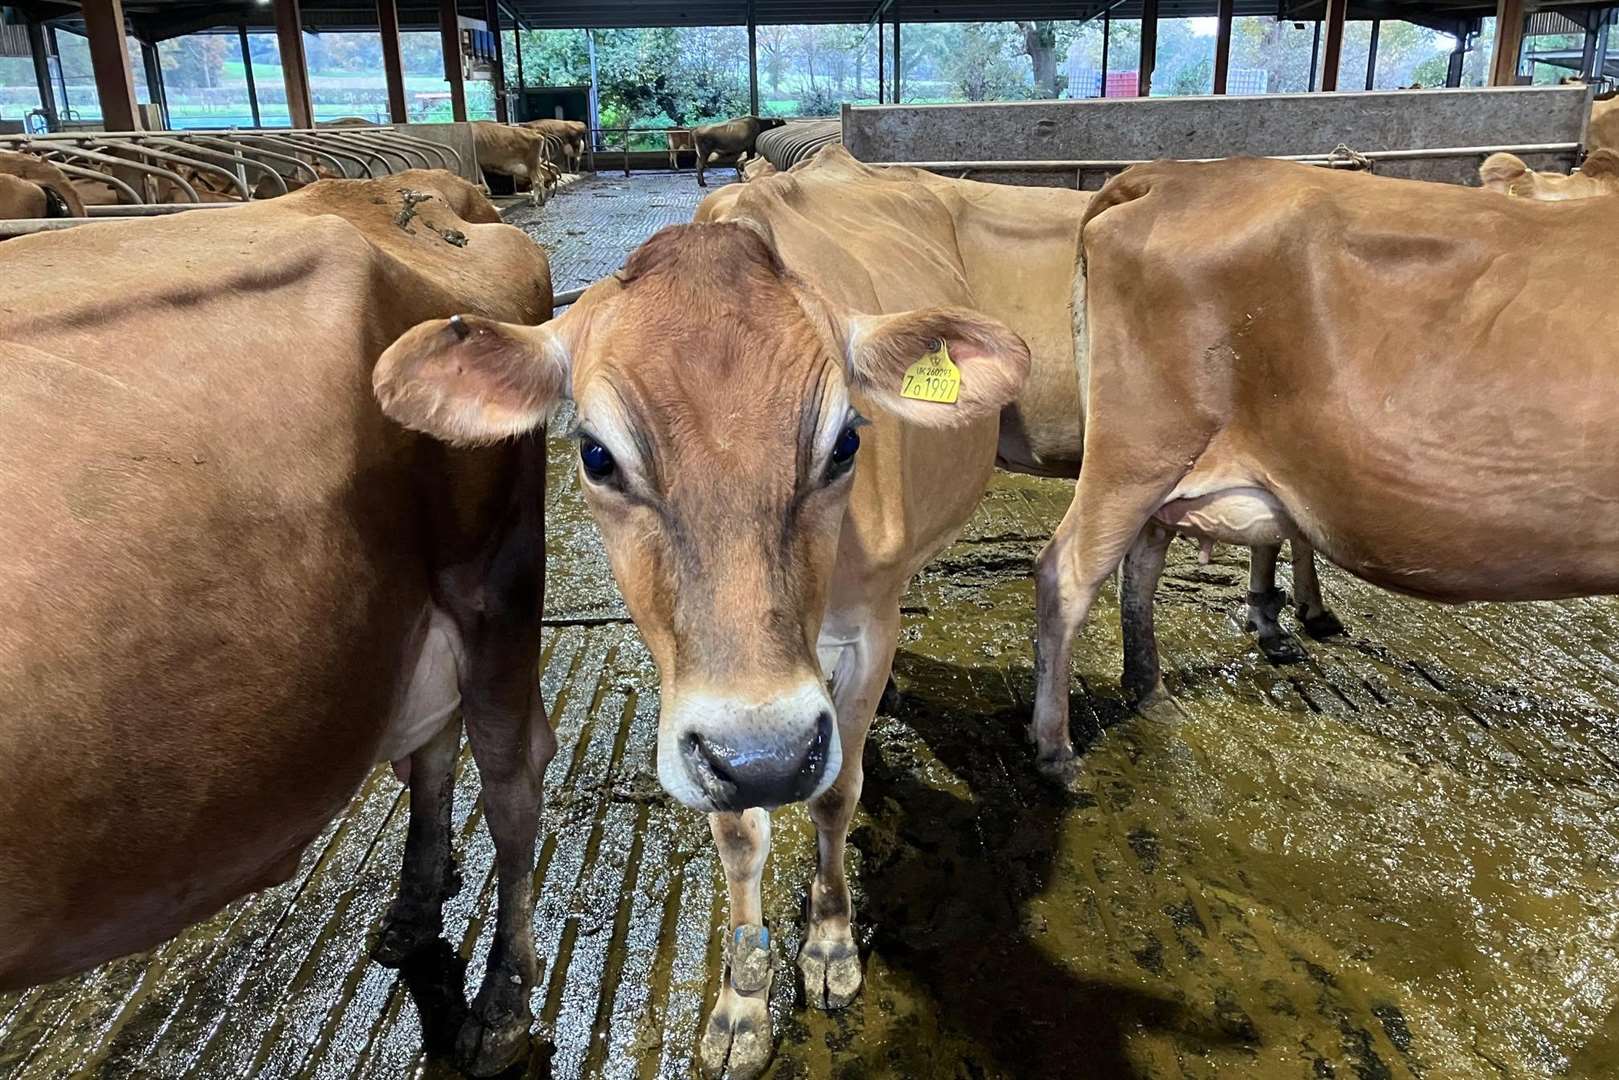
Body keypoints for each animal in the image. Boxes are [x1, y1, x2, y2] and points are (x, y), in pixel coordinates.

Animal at [0, 170, 556, 1080]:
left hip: (494, 580)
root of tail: (410, 193)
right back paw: (414, 904)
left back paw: (501, 1005)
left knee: (511, 776)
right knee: (432, 744)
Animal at [370, 145, 1036, 1080]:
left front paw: (830, 944)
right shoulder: (693, 695)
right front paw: (741, 1007)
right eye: (596, 455)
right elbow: (737, 834)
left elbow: (836, 795)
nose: (769, 756)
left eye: (846, 442)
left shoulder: (866, 632)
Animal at [1029, 156, 1619, 777]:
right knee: (1068, 571)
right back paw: (1056, 749)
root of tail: (1172, 174)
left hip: (1174, 462)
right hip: (1142, 449)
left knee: (1140, 565)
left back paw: (1150, 690)